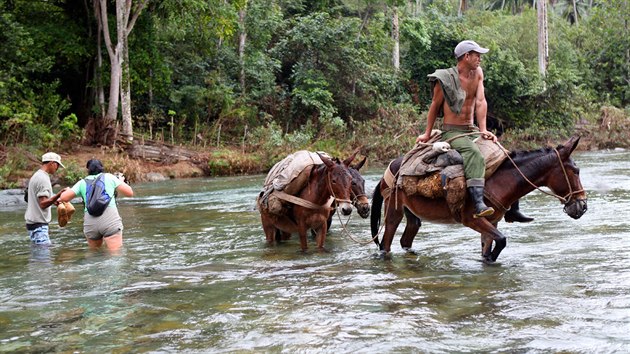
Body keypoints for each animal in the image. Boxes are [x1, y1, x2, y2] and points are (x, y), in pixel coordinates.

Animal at [372, 137, 592, 262]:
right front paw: (492, 257)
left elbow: (489, 248)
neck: (500, 181)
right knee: (386, 244)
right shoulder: (473, 220)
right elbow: (501, 241)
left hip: (412, 213)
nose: (582, 206)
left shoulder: (492, 221)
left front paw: (488, 260)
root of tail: (388, 171)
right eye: (576, 171)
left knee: (406, 238)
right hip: (393, 210)